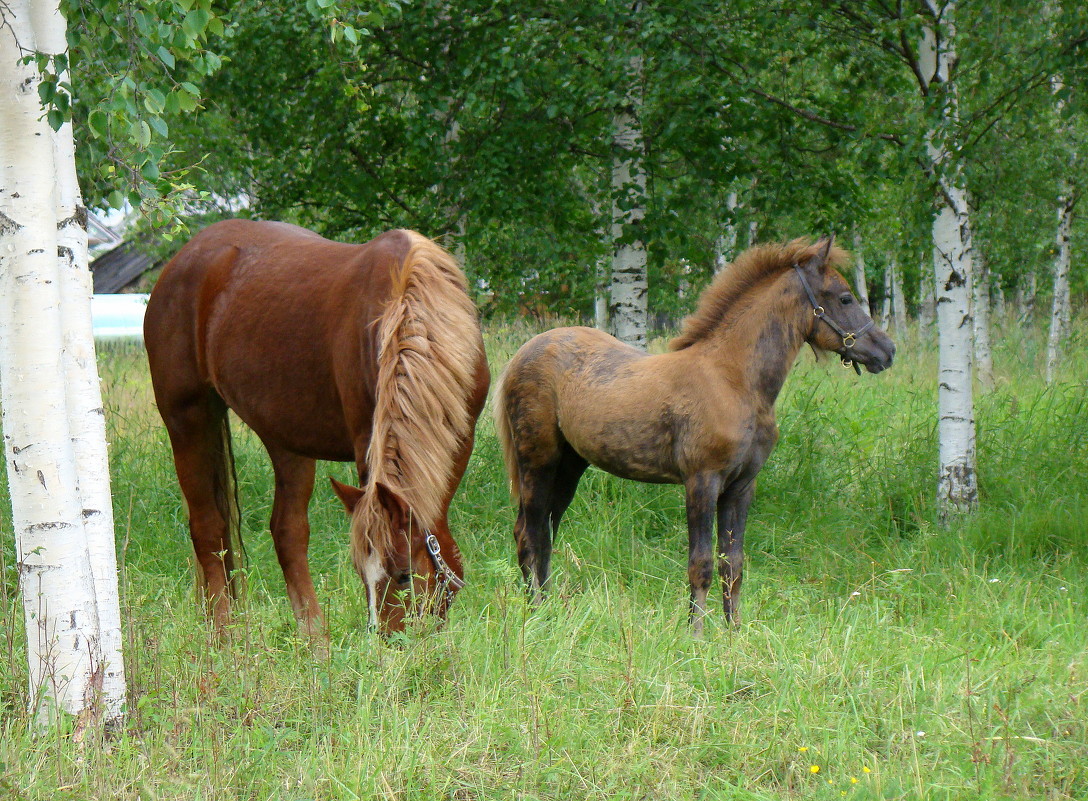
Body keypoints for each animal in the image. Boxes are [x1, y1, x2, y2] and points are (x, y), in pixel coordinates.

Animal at [144, 218, 489, 631]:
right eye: (360, 572)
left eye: (403, 575)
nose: (386, 639)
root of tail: (182, 260)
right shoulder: (367, 442)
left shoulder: (461, 439)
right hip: (187, 419)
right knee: (209, 530)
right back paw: (226, 637)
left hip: (285, 437)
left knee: (287, 533)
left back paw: (314, 640)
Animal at [498, 236, 896, 631]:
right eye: (844, 298)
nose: (887, 351)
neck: (734, 380)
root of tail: (521, 354)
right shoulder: (702, 480)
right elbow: (701, 563)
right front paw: (696, 635)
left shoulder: (741, 486)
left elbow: (733, 565)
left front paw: (734, 634)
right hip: (538, 461)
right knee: (530, 534)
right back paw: (536, 615)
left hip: (570, 466)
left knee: (544, 533)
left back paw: (551, 613)